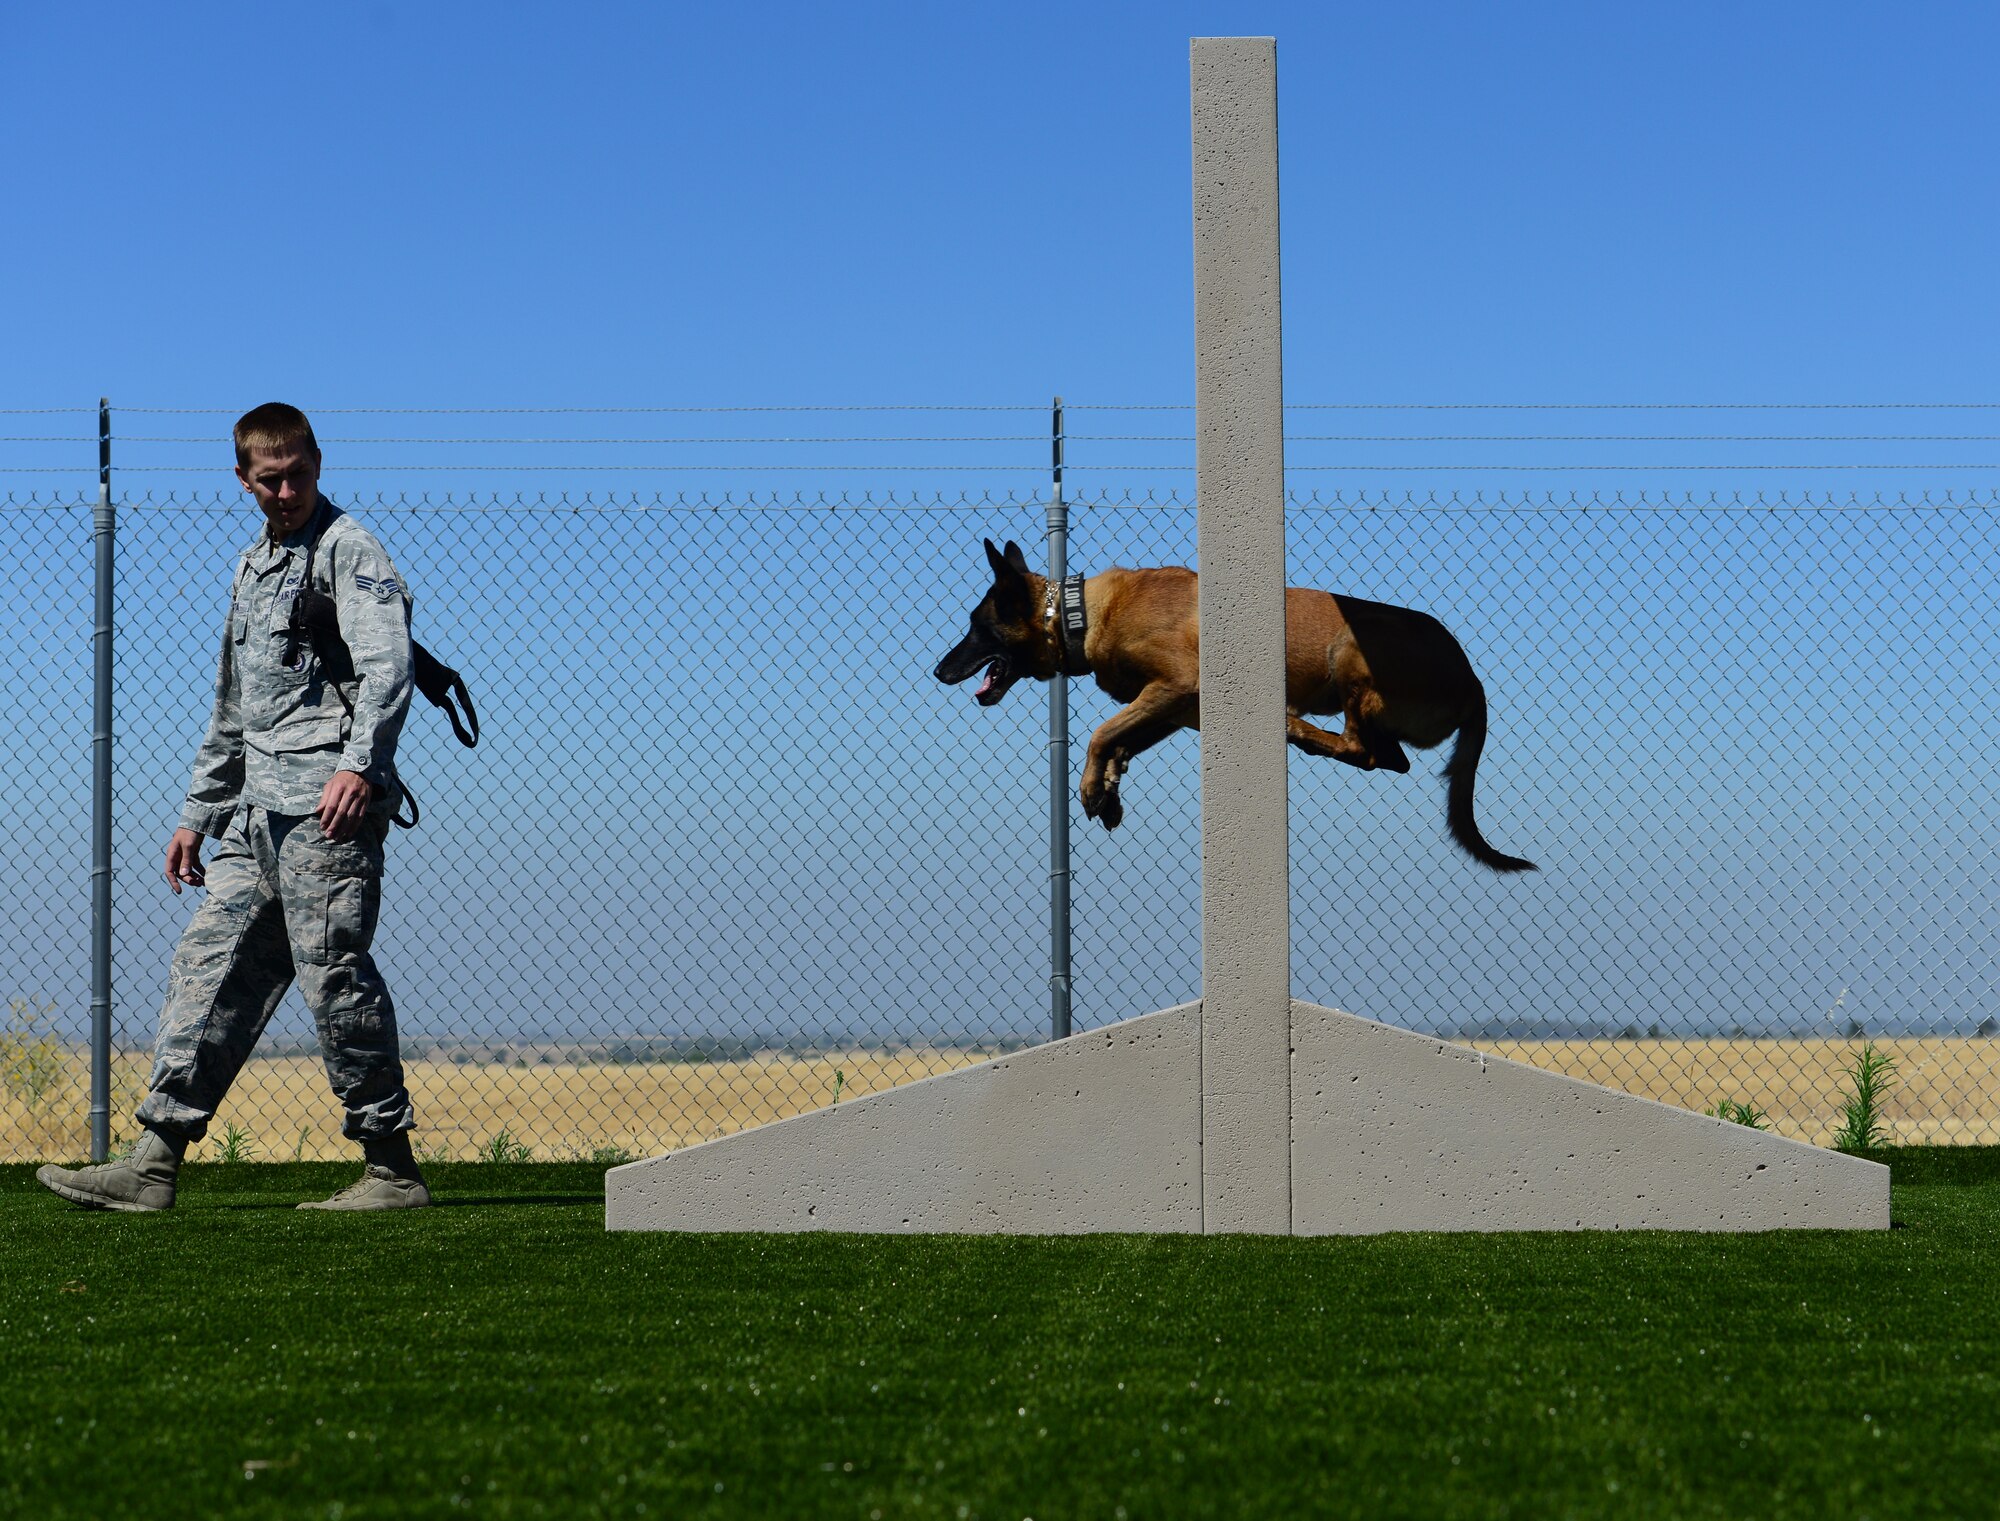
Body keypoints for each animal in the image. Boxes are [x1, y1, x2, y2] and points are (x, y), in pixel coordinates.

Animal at [932, 536, 1528, 872]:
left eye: (976, 627)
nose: (938, 671)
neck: (1078, 613)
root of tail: (1472, 681)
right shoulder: (1172, 710)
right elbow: (1120, 740)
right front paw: (1108, 788)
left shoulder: (1176, 686)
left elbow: (1103, 731)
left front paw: (1091, 789)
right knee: (1389, 757)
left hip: (1351, 648)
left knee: (1366, 751)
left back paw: (1299, 731)